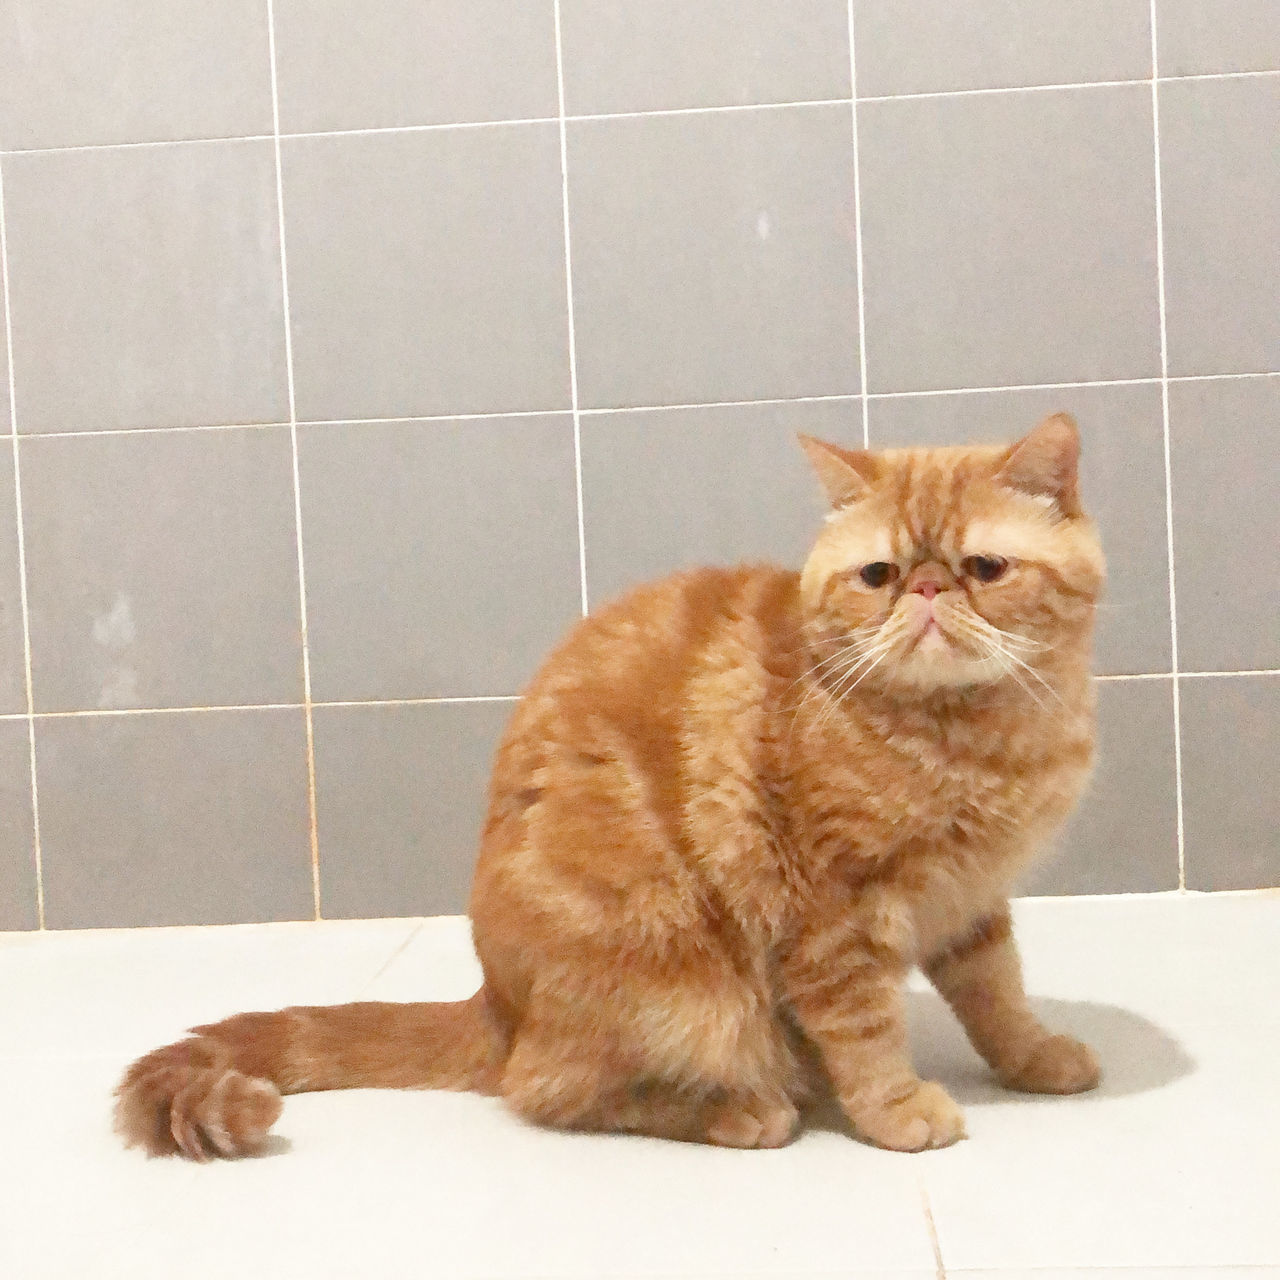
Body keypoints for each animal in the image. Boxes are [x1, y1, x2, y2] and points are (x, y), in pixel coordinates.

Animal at [115, 412, 1105, 1162]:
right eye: (880, 575)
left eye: (983, 568)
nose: (929, 591)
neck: (973, 734)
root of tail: (496, 1006)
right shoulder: (833, 915)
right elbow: (865, 1032)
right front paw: (899, 1110)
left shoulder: (973, 900)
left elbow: (997, 993)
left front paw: (1034, 1057)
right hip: (682, 980)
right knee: (549, 1090)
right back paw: (744, 1110)